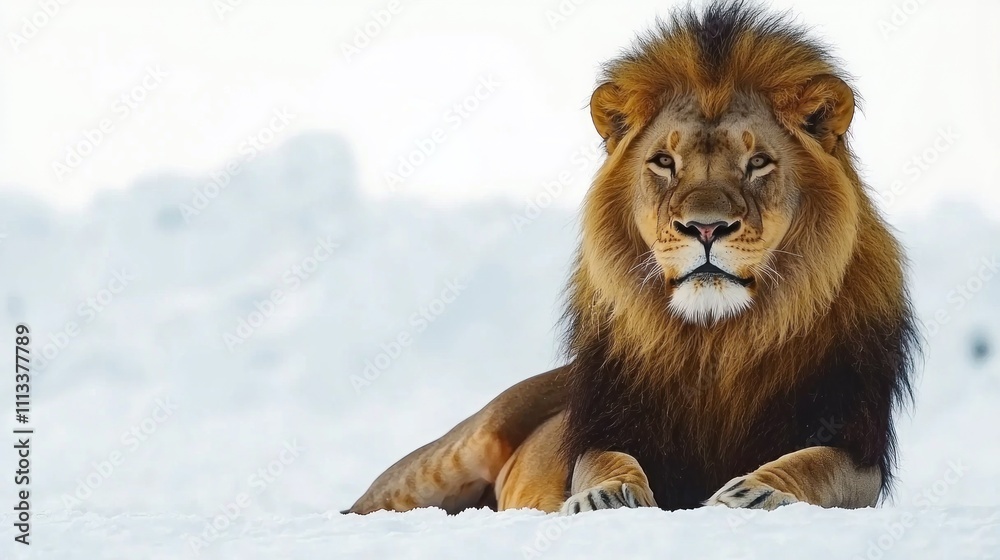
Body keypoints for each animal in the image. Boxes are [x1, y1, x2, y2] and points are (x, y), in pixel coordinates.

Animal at [345, 0, 917, 516]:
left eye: (757, 163)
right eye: (664, 162)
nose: (705, 227)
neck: (716, 340)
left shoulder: (855, 439)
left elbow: (818, 465)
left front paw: (758, 492)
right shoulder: (605, 427)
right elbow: (603, 461)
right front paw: (608, 494)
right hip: (457, 449)